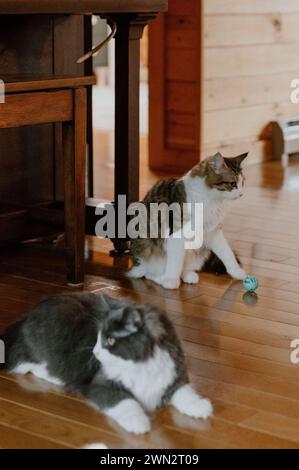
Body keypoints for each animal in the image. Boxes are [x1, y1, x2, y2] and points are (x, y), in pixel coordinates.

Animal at [1, 294, 213, 434]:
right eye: (98, 337)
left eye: (110, 340)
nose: (95, 352)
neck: (140, 365)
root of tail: (26, 316)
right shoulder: (101, 385)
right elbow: (126, 401)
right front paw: (139, 423)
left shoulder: (173, 377)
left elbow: (185, 393)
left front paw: (201, 408)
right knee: (25, 365)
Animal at [129, 152, 248, 288]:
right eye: (233, 184)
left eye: (243, 183)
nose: (241, 194)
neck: (212, 201)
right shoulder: (177, 234)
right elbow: (174, 263)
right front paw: (171, 280)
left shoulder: (213, 232)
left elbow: (227, 253)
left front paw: (237, 272)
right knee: (148, 274)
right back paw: (163, 279)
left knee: (183, 268)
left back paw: (189, 276)